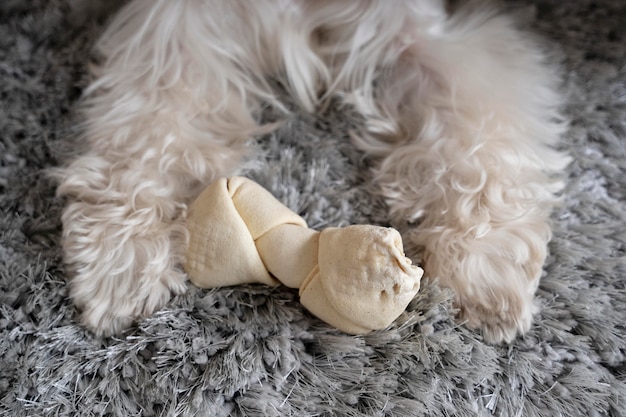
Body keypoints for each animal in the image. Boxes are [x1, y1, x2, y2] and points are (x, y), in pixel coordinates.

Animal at [56, 0, 568, 342]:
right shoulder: (180, 27)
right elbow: (147, 130)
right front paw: (123, 256)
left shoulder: (418, 34)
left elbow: (480, 132)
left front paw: (486, 266)